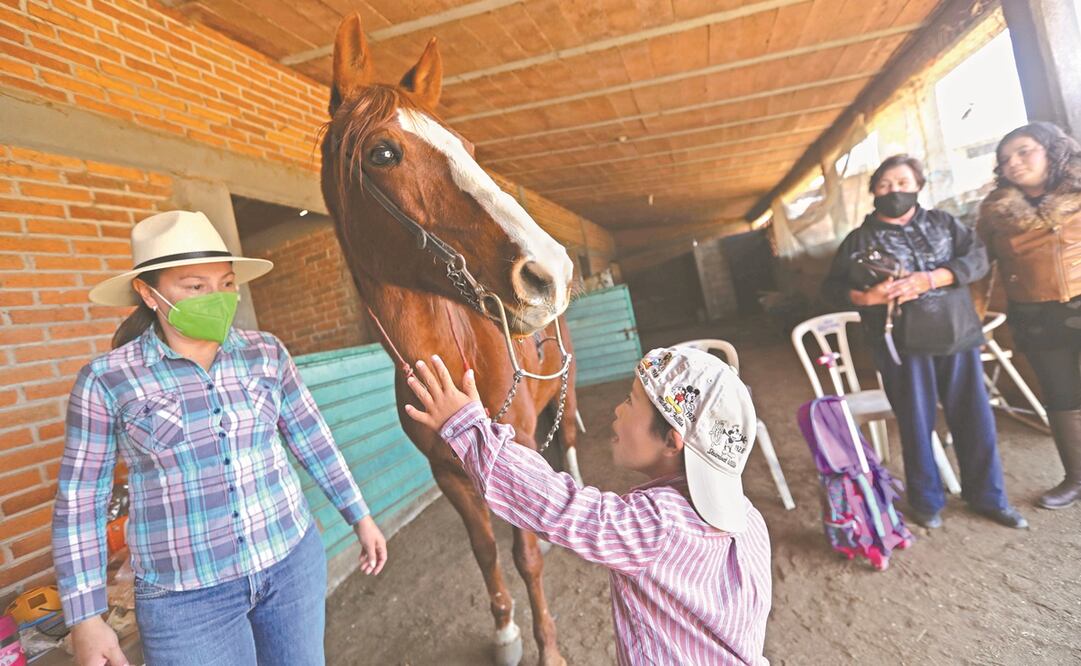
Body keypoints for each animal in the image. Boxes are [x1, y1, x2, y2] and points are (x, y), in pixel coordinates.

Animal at [320, 13, 583, 666]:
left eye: (468, 148)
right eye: (383, 152)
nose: (550, 271)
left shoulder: (517, 441)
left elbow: (525, 554)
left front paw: (547, 645)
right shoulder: (446, 471)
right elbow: (486, 550)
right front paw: (505, 631)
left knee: (566, 437)